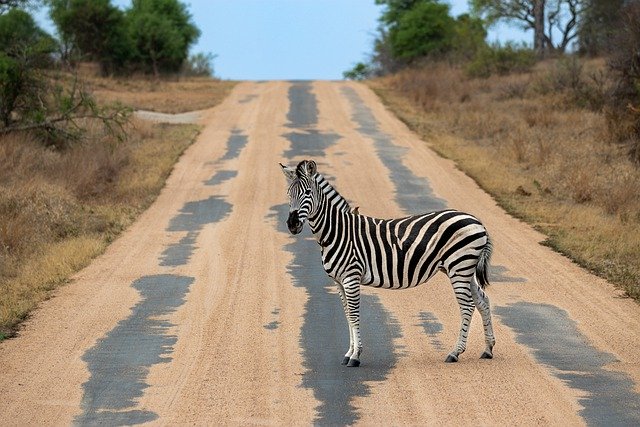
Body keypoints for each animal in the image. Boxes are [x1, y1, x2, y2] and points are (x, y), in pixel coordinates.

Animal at [280, 160, 496, 368]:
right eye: (289, 194)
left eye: (307, 193)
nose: (292, 225)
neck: (337, 232)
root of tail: (477, 221)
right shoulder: (338, 282)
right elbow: (348, 316)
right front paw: (349, 353)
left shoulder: (351, 278)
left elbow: (354, 315)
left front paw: (355, 356)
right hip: (463, 269)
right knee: (482, 300)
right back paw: (488, 349)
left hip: (459, 267)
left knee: (467, 306)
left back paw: (455, 352)